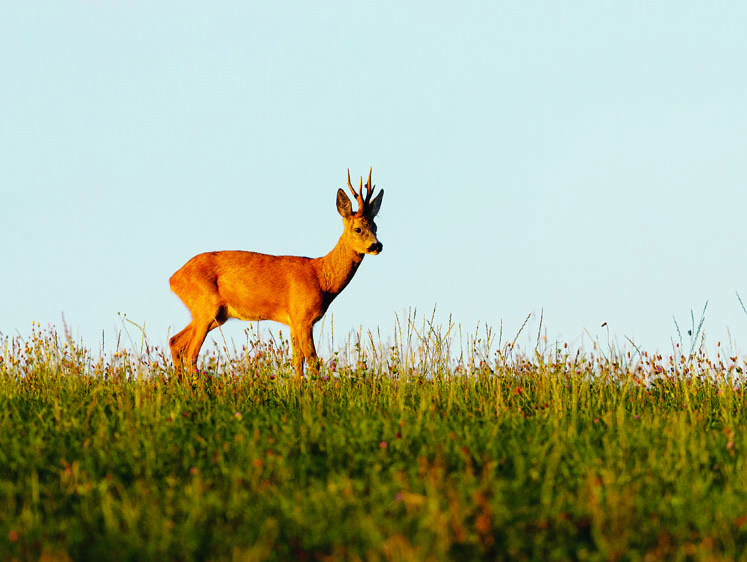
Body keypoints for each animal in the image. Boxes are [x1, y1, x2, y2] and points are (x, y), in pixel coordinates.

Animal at [169, 166, 386, 376]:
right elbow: (313, 362)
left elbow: (297, 362)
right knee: (190, 353)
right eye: (358, 229)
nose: (377, 245)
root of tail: (173, 279)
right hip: (206, 306)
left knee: (175, 341)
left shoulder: (294, 322)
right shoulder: (302, 316)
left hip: (214, 313)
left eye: (376, 226)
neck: (322, 279)